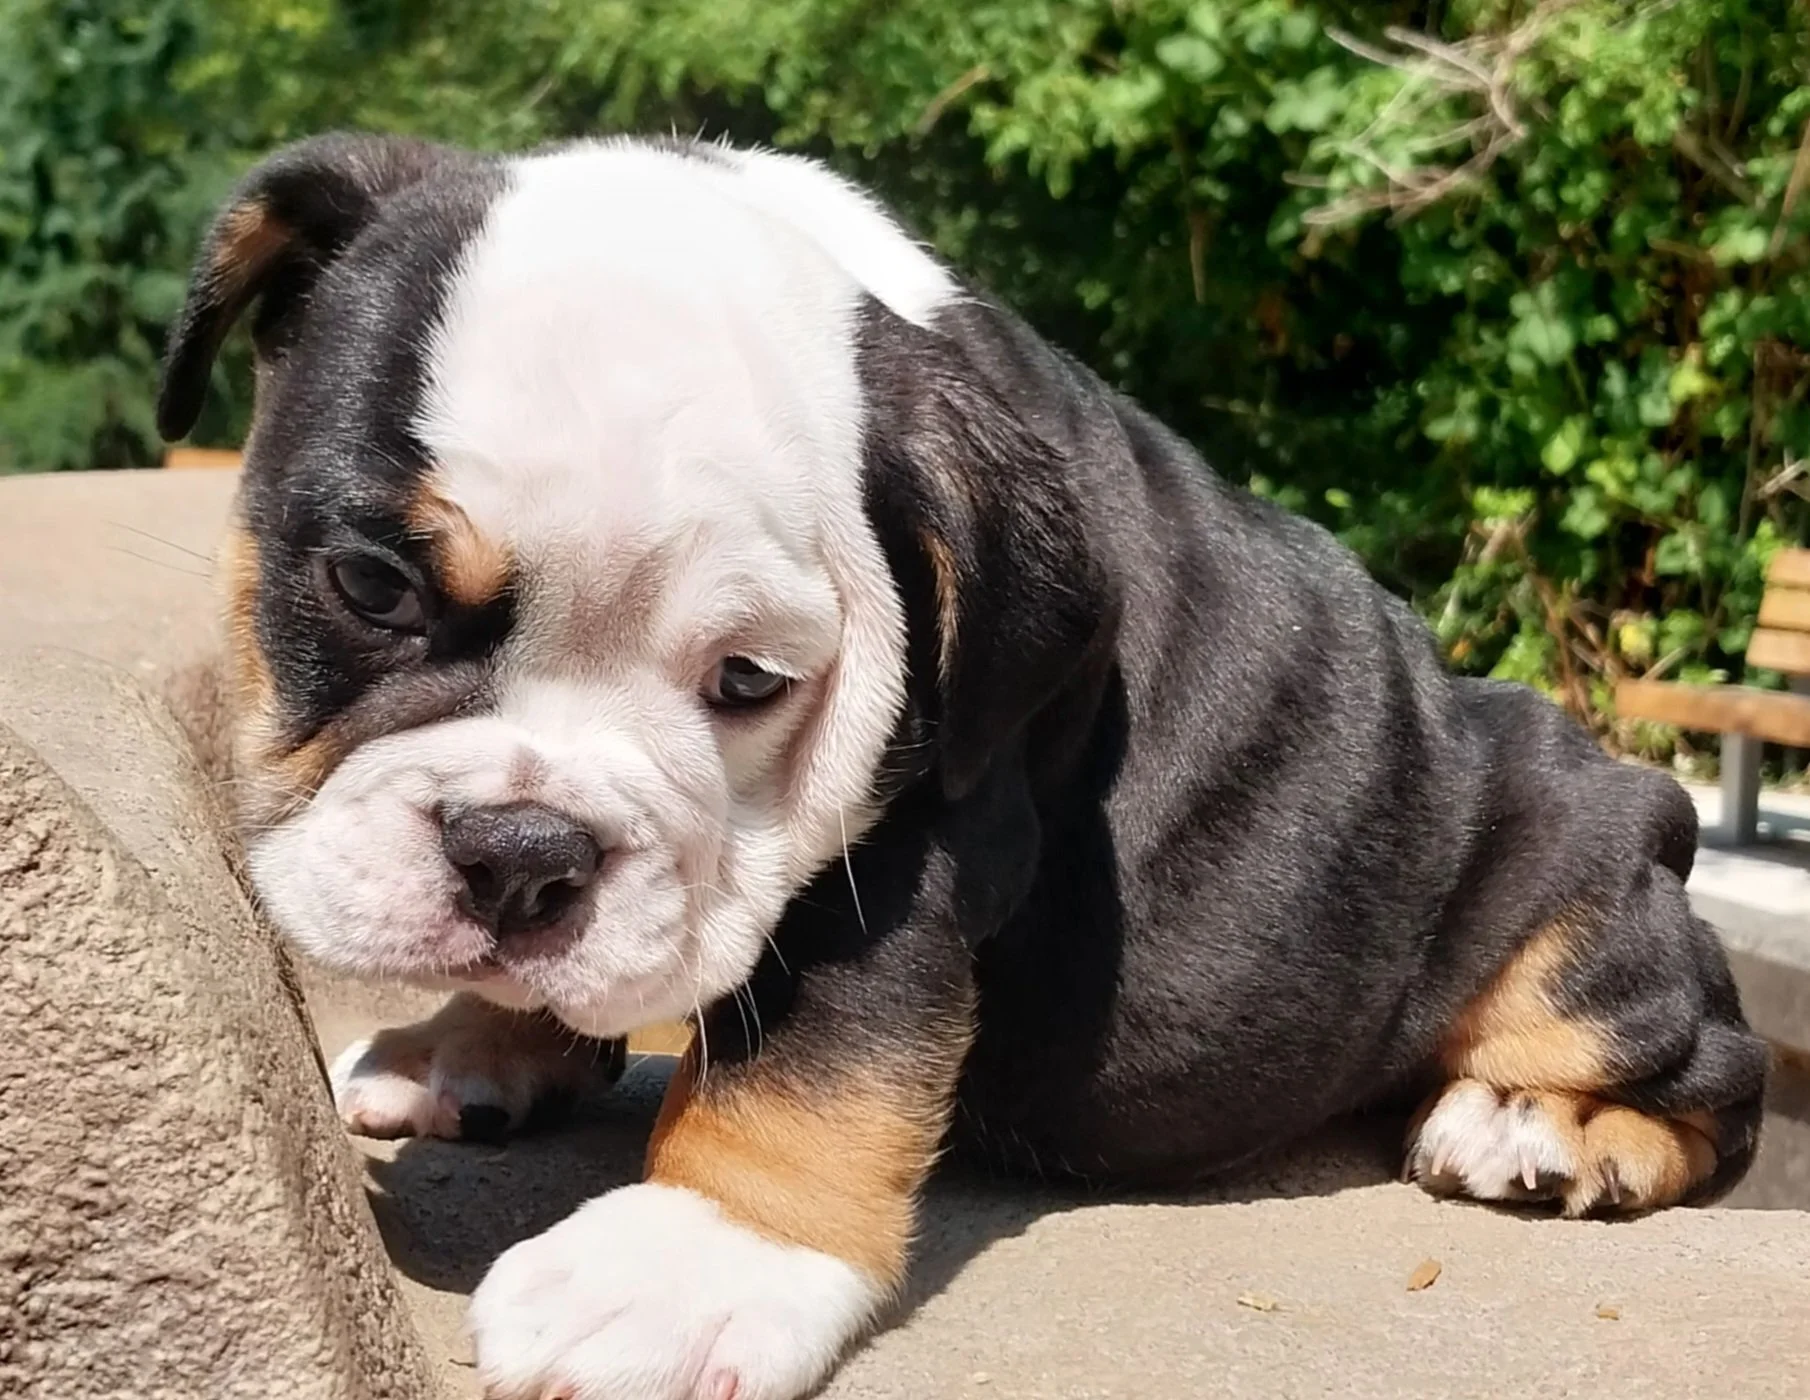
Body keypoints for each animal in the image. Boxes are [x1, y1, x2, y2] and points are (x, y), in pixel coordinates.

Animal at [158, 133, 1767, 1400]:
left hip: (1574, 894)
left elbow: (812, 1053)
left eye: (749, 683)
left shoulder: (923, 842)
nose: (520, 853)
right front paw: (473, 1044)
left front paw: (690, 1259)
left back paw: (1549, 1126)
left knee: (1712, 1078)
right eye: (370, 585)